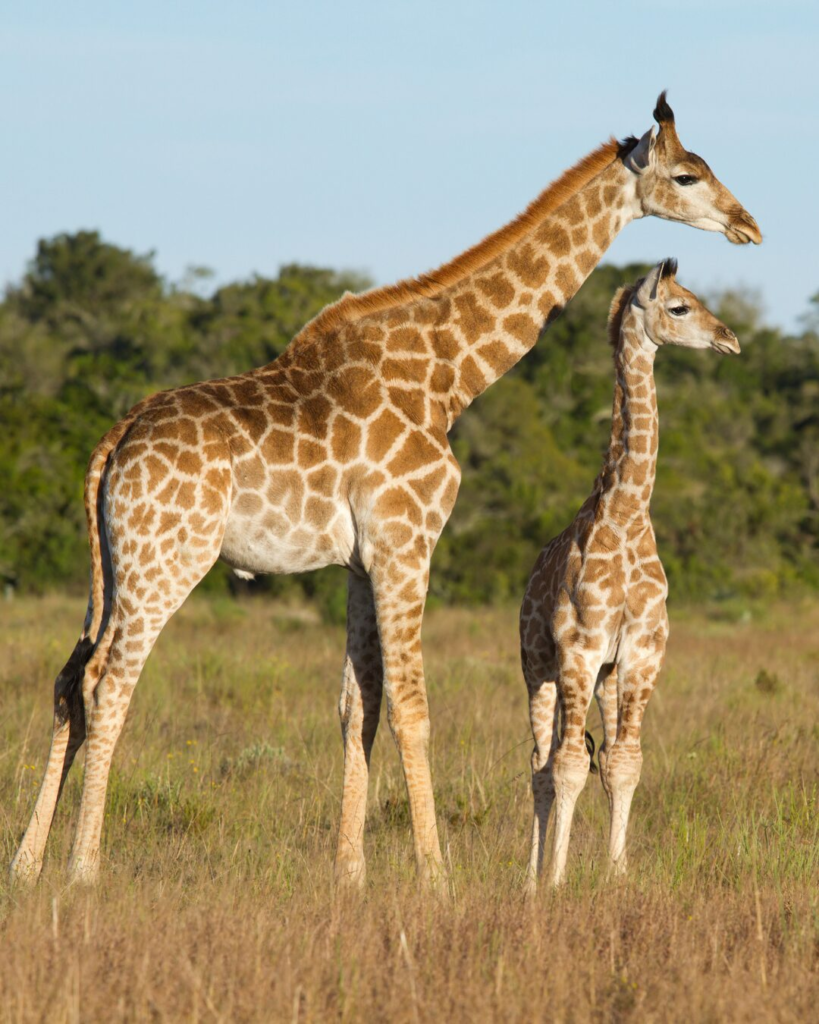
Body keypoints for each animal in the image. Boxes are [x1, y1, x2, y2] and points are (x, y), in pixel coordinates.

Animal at [520, 259, 741, 893]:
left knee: (588, 756)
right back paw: (529, 878)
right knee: (541, 765)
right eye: (679, 307)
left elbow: (624, 763)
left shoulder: (641, 652)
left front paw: (616, 875)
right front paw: (556, 880)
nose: (729, 339)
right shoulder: (579, 648)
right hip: (538, 667)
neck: (626, 513)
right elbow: (568, 766)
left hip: (607, 677)